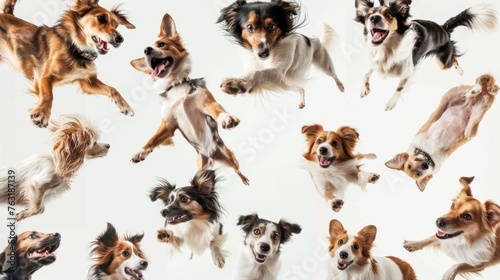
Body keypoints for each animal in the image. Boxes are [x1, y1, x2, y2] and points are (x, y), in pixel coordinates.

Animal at [0, 0, 135, 127]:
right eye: (101, 18)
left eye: (116, 25)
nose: (120, 39)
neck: (76, 49)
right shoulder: (44, 77)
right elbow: (49, 95)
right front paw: (42, 113)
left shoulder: (88, 82)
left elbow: (112, 89)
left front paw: (125, 106)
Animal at [130, 13, 249, 185]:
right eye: (145, 51)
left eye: (162, 44)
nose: (147, 49)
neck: (176, 84)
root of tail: (211, 157)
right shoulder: (168, 124)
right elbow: (152, 138)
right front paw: (141, 152)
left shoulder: (207, 103)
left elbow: (218, 110)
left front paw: (227, 118)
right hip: (200, 171)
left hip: (230, 157)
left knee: (237, 169)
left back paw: (245, 180)